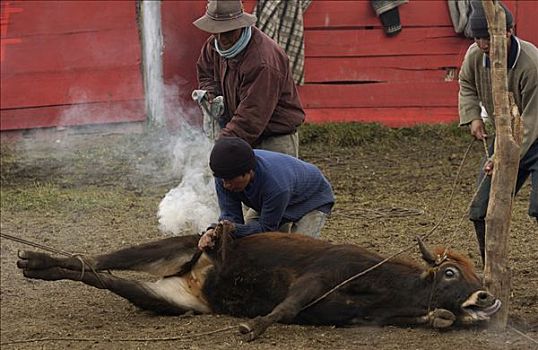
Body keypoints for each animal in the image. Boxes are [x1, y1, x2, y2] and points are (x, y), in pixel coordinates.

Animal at [18, 221, 500, 342]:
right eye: (451, 272)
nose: (487, 298)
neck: (380, 282)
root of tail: (193, 275)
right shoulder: (317, 276)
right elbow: (285, 307)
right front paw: (252, 326)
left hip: (166, 298)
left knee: (99, 277)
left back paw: (39, 267)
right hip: (170, 246)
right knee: (94, 260)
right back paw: (34, 259)